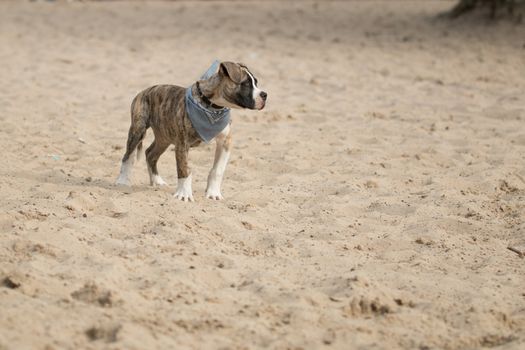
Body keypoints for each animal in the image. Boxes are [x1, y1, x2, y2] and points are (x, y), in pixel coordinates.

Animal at [116, 61, 268, 201]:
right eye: (246, 84)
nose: (265, 95)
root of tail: (144, 91)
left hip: (165, 136)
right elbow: (184, 169)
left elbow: (217, 170)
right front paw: (184, 194)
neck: (213, 107)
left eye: (256, 82)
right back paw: (122, 182)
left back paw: (157, 181)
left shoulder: (225, 141)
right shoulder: (182, 143)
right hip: (138, 130)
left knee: (150, 154)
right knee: (128, 156)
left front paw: (213, 193)